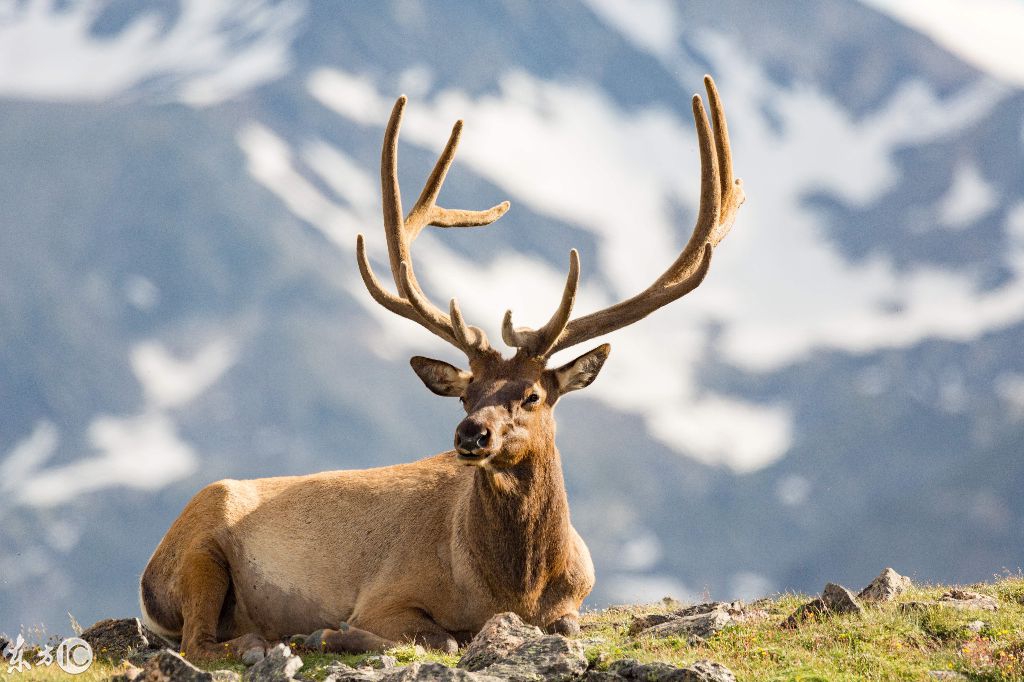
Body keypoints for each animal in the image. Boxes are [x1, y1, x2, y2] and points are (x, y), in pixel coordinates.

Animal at [138, 74, 745, 659]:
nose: (470, 435)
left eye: (533, 395)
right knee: (199, 641)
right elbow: (443, 637)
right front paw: (332, 634)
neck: (515, 591)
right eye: (465, 394)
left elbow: (567, 627)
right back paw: (272, 641)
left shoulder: (577, 596)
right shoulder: (386, 592)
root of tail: (147, 585)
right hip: (200, 548)